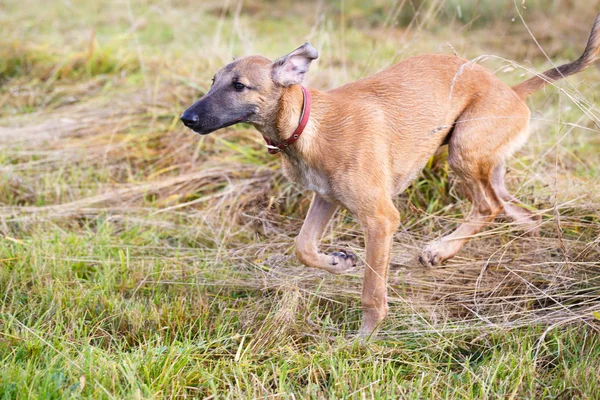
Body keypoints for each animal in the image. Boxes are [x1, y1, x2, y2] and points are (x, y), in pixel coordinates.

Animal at [182, 13, 600, 338]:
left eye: (239, 86)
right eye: (213, 80)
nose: (187, 118)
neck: (308, 126)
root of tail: (513, 89)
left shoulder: (381, 219)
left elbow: (371, 292)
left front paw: (363, 339)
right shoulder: (326, 198)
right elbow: (303, 247)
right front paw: (338, 262)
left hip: (463, 152)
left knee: (488, 207)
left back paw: (441, 250)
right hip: (487, 164)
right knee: (521, 213)